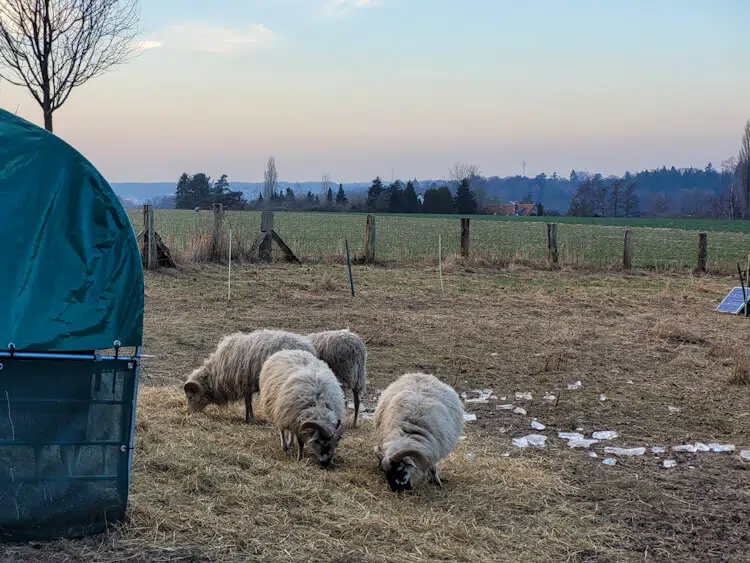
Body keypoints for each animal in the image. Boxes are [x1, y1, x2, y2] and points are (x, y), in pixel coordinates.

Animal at [183, 329, 317, 424]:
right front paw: (247, 418)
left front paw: (251, 419)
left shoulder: (244, 383)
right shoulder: (245, 386)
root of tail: (308, 345)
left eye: (190, 397)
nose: (189, 414)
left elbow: (248, 402)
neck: (216, 373)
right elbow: (247, 402)